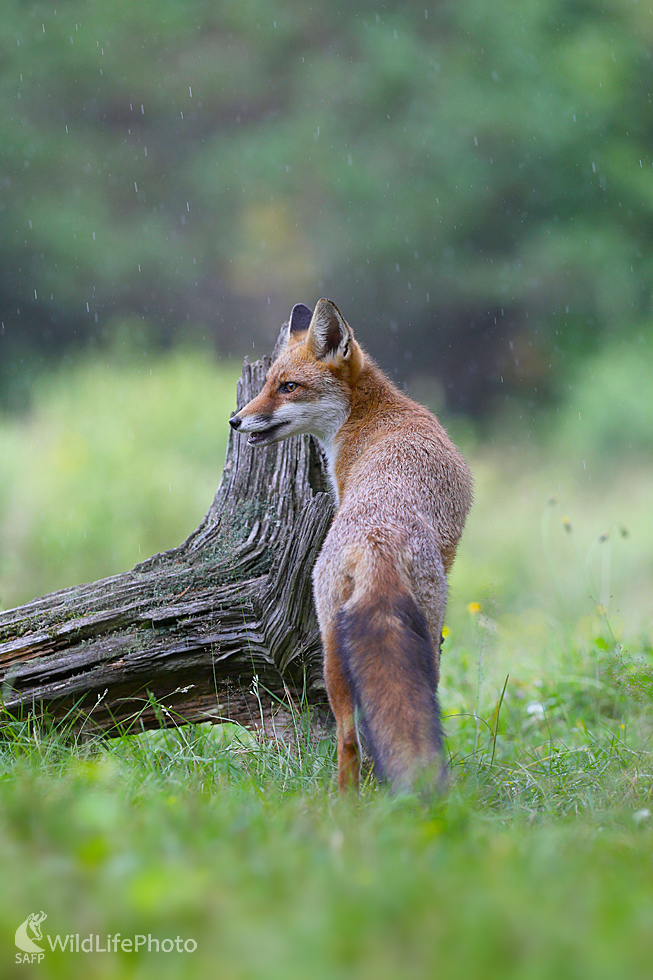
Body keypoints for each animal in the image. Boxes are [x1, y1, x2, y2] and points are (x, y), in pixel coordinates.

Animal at [232, 296, 472, 788]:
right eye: (266, 385)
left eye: (288, 387)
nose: (235, 421)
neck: (371, 416)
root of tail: (374, 543)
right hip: (399, 643)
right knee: (357, 736)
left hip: (336, 652)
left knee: (350, 739)